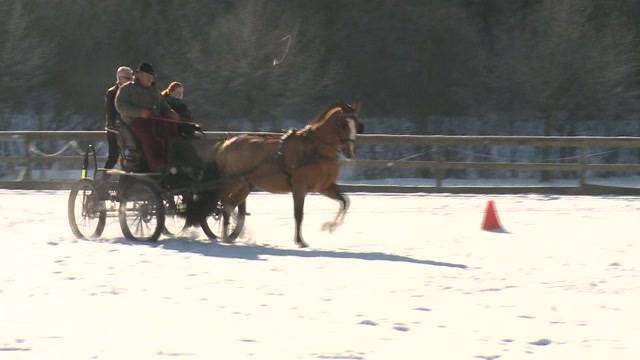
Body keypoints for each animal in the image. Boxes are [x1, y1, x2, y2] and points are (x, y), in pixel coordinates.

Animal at [191, 101, 364, 248]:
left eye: (356, 125)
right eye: (342, 125)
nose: (350, 152)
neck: (314, 148)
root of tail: (226, 143)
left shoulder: (324, 187)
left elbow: (345, 202)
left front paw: (329, 227)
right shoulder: (299, 187)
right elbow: (298, 214)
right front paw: (300, 241)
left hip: (245, 185)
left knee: (228, 206)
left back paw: (228, 236)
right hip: (231, 183)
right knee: (223, 205)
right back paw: (225, 235)